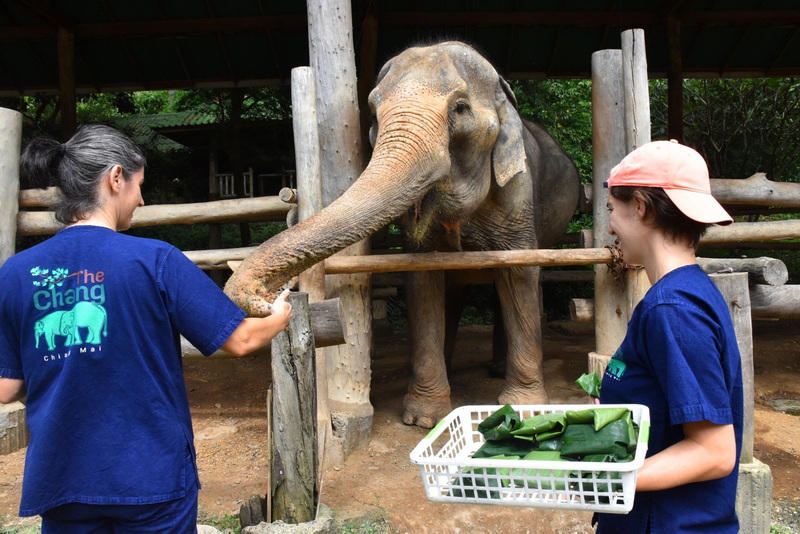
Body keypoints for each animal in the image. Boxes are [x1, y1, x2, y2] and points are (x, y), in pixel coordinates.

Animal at [222, 38, 580, 432]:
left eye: (460, 108)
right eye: (374, 113)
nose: (267, 297)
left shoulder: (518, 195)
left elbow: (519, 276)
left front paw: (526, 409)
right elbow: (422, 281)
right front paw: (422, 419)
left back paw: (498, 371)